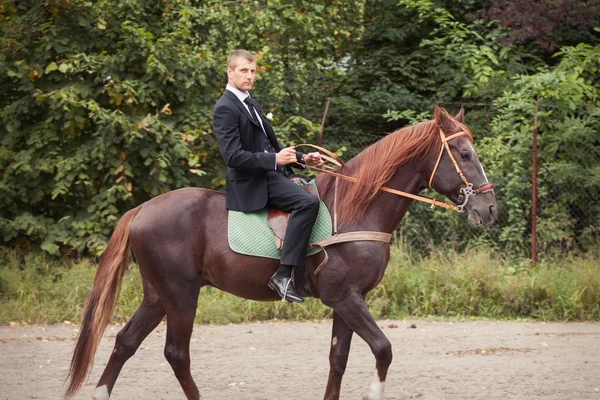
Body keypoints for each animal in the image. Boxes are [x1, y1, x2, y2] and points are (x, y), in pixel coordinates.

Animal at [64, 106, 496, 400]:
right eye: (463, 154)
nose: (489, 209)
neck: (356, 209)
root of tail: (141, 209)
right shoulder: (346, 297)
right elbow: (383, 349)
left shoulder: (347, 300)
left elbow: (338, 360)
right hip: (181, 295)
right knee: (176, 354)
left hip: (158, 296)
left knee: (125, 343)